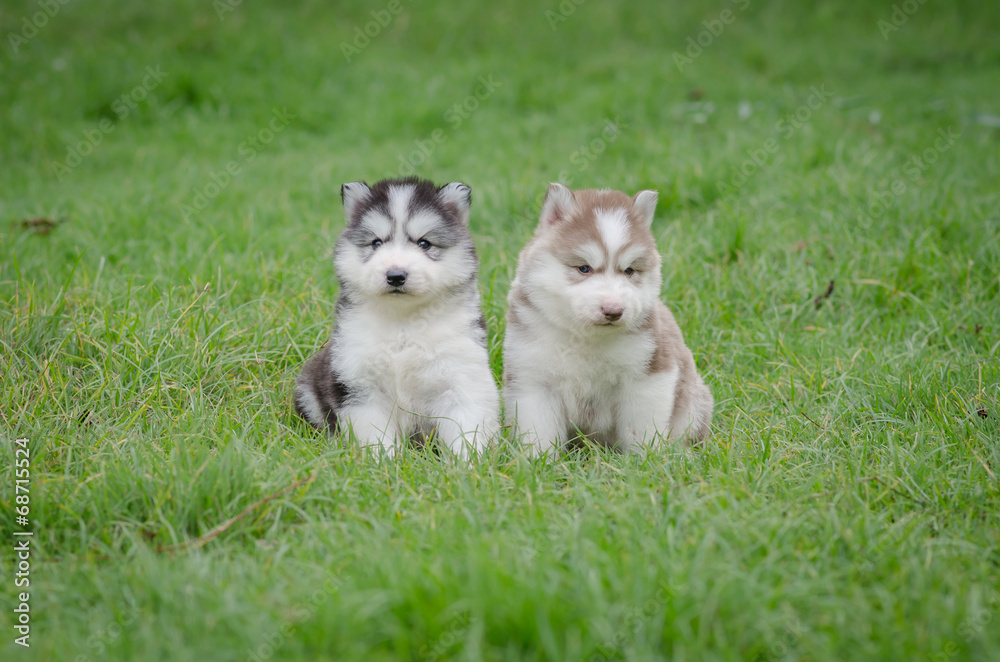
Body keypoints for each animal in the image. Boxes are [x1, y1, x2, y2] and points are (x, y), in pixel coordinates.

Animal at [294, 178, 500, 462]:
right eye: (376, 243)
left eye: (424, 243)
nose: (395, 275)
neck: (404, 323)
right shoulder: (360, 384)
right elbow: (375, 435)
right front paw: (382, 463)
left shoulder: (461, 378)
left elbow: (465, 429)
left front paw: (467, 464)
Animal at [504, 184, 716, 460]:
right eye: (584, 268)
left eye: (629, 271)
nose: (614, 311)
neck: (585, 339)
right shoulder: (533, 379)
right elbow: (539, 432)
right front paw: (538, 462)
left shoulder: (648, 377)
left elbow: (641, 429)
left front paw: (644, 462)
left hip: (693, 404)